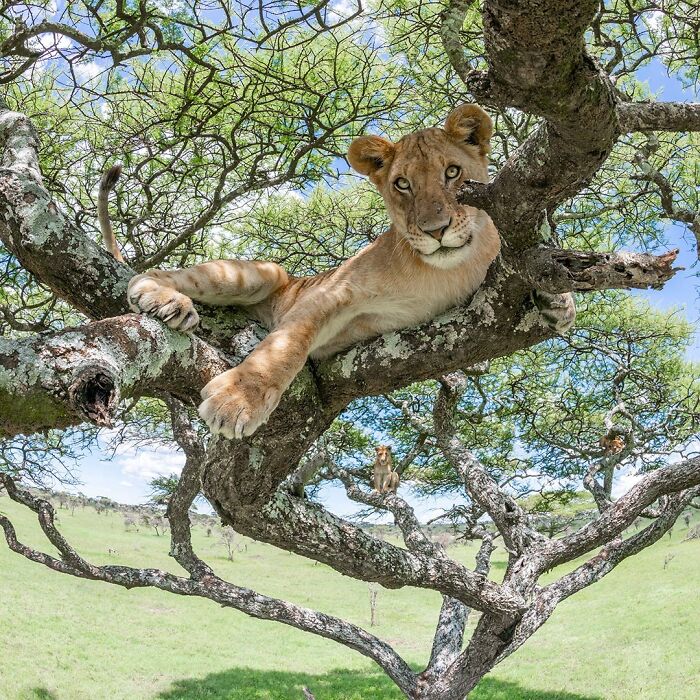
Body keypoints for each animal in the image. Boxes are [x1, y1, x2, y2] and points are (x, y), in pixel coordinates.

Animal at [107, 104, 574, 439]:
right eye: (402, 184)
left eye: (453, 172)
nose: (435, 230)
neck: (445, 270)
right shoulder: (332, 292)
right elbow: (286, 344)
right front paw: (237, 400)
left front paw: (559, 302)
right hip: (262, 273)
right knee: (155, 274)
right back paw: (165, 301)